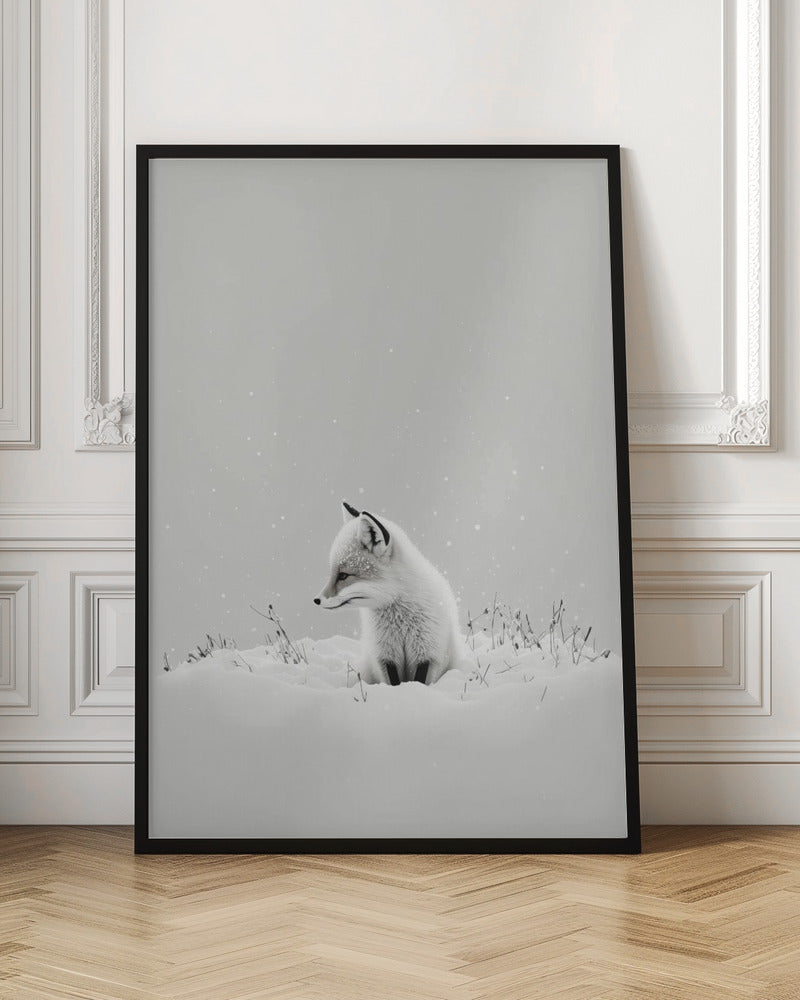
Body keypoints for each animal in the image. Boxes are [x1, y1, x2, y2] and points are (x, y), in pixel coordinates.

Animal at [313, 501, 462, 686]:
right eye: (333, 573)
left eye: (343, 575)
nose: (317, 600)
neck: (400, 621)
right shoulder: (385, 655)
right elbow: (393, 682)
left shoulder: (427, 652)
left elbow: (419, 681)